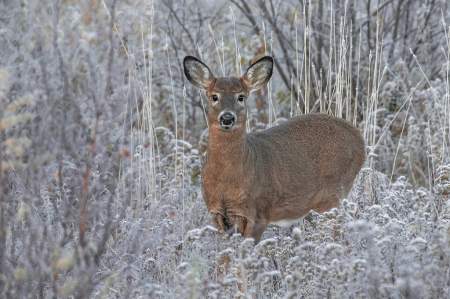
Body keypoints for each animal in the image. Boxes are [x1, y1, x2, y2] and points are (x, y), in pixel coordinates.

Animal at [183, 55, 366, 246]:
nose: (227, 118)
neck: (228, 181)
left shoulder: (258, 214)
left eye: (241, 97)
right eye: (214, 96)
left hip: (335, 193)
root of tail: (359, 139)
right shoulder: (216, 215)